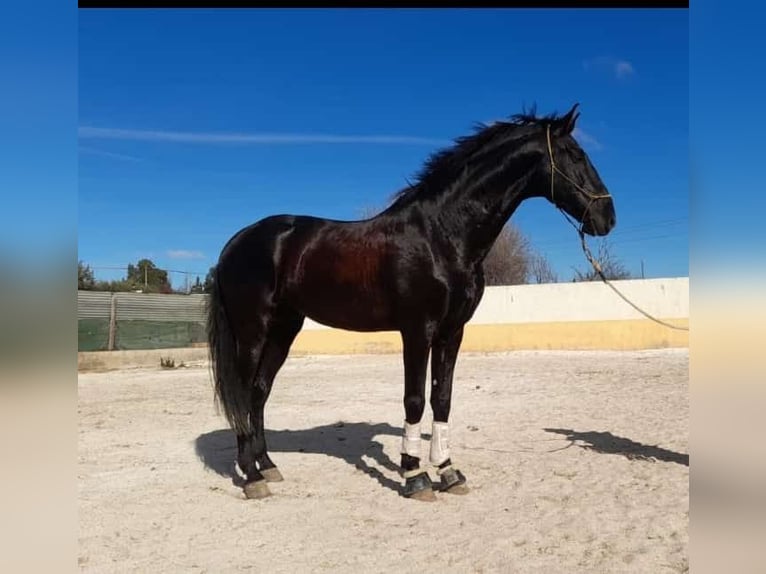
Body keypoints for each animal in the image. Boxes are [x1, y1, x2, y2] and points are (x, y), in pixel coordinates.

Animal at [206, 104, 616, 504]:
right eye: (575, 154)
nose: (607, 216)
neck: (441, 235)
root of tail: (237, 242)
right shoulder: (418, 330)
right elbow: (415, 399)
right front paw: (414, 475)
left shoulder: (452, 332)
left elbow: (442, 398)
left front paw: (448, 472)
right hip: (253, 330)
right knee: (242, 392)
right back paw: (252, 477)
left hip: (284, 329)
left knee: (259, 391)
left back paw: (268, 465)